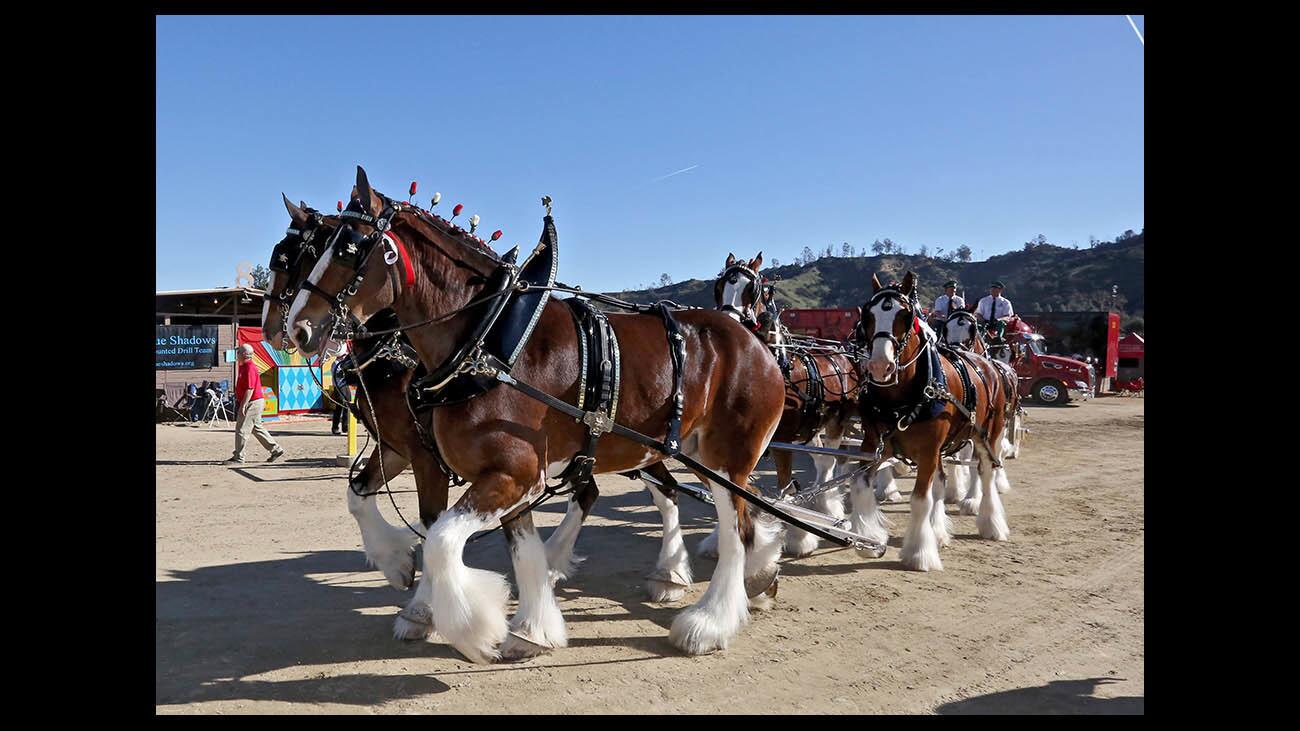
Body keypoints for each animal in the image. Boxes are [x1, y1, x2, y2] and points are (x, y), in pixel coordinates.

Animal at [289, 167, 785, 663]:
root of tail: (755, 343)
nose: (297, 328)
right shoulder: (490, 472)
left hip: (726, 459)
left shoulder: (507, 471)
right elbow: (515, 549)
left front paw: (470, 626)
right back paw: (751, 575)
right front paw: (530, 629)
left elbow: (440, 541)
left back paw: (710, 621)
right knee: (722, 510)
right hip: (686, 454)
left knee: (734, 530)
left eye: (348, 249)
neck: (489, 343)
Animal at [717, 253, 857, 554]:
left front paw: (799, 537)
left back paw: (828, 507)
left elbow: (782, 490)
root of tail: (841, 352)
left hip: (837, 422)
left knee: (829, 463)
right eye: (720, 285)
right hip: (812, 426)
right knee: (821, 458)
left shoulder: (781, 440)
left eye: (751, 289)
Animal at [847, 271, 1008, 569]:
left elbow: (921, 499)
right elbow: (860, 485)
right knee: (942, 482)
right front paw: (868, 538)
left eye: (904, 315)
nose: (879, 366)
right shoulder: (875, 445)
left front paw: (919, 553)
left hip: (987, 433)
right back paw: (939, 531)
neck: (900, 399)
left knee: (985, 472)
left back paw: (991, 523)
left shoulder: (929, 450)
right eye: (867, 316)